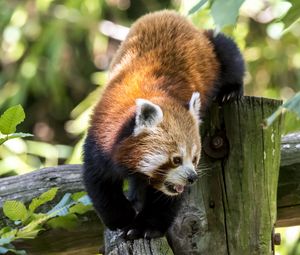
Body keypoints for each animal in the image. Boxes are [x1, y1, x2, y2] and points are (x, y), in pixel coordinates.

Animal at [82, 10, 244, 239]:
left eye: (195, 159)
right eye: (176, 159)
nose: (192, 177)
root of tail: (168, 13)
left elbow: (166, 199)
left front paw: (144, 226)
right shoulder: (100, 137)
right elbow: (100, 182)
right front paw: (121, 219)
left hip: (213, 49)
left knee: (229, 52)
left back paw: (230, 91)